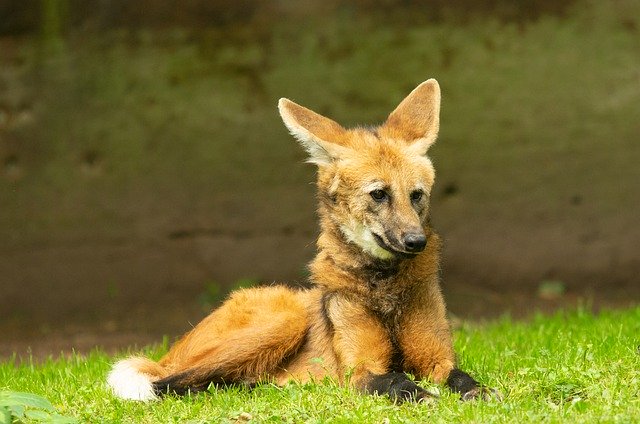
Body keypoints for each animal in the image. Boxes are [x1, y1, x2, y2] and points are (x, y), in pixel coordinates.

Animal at [107, 79, 496, 403]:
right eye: (379, 194)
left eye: (416, 195)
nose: (416, 241)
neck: (385, 289)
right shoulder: (360, 371)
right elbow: (395, 380)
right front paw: (424, 395)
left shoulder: (436, 358)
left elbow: (458, 376)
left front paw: (477, 391)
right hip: (287, 316)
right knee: (166, 381)